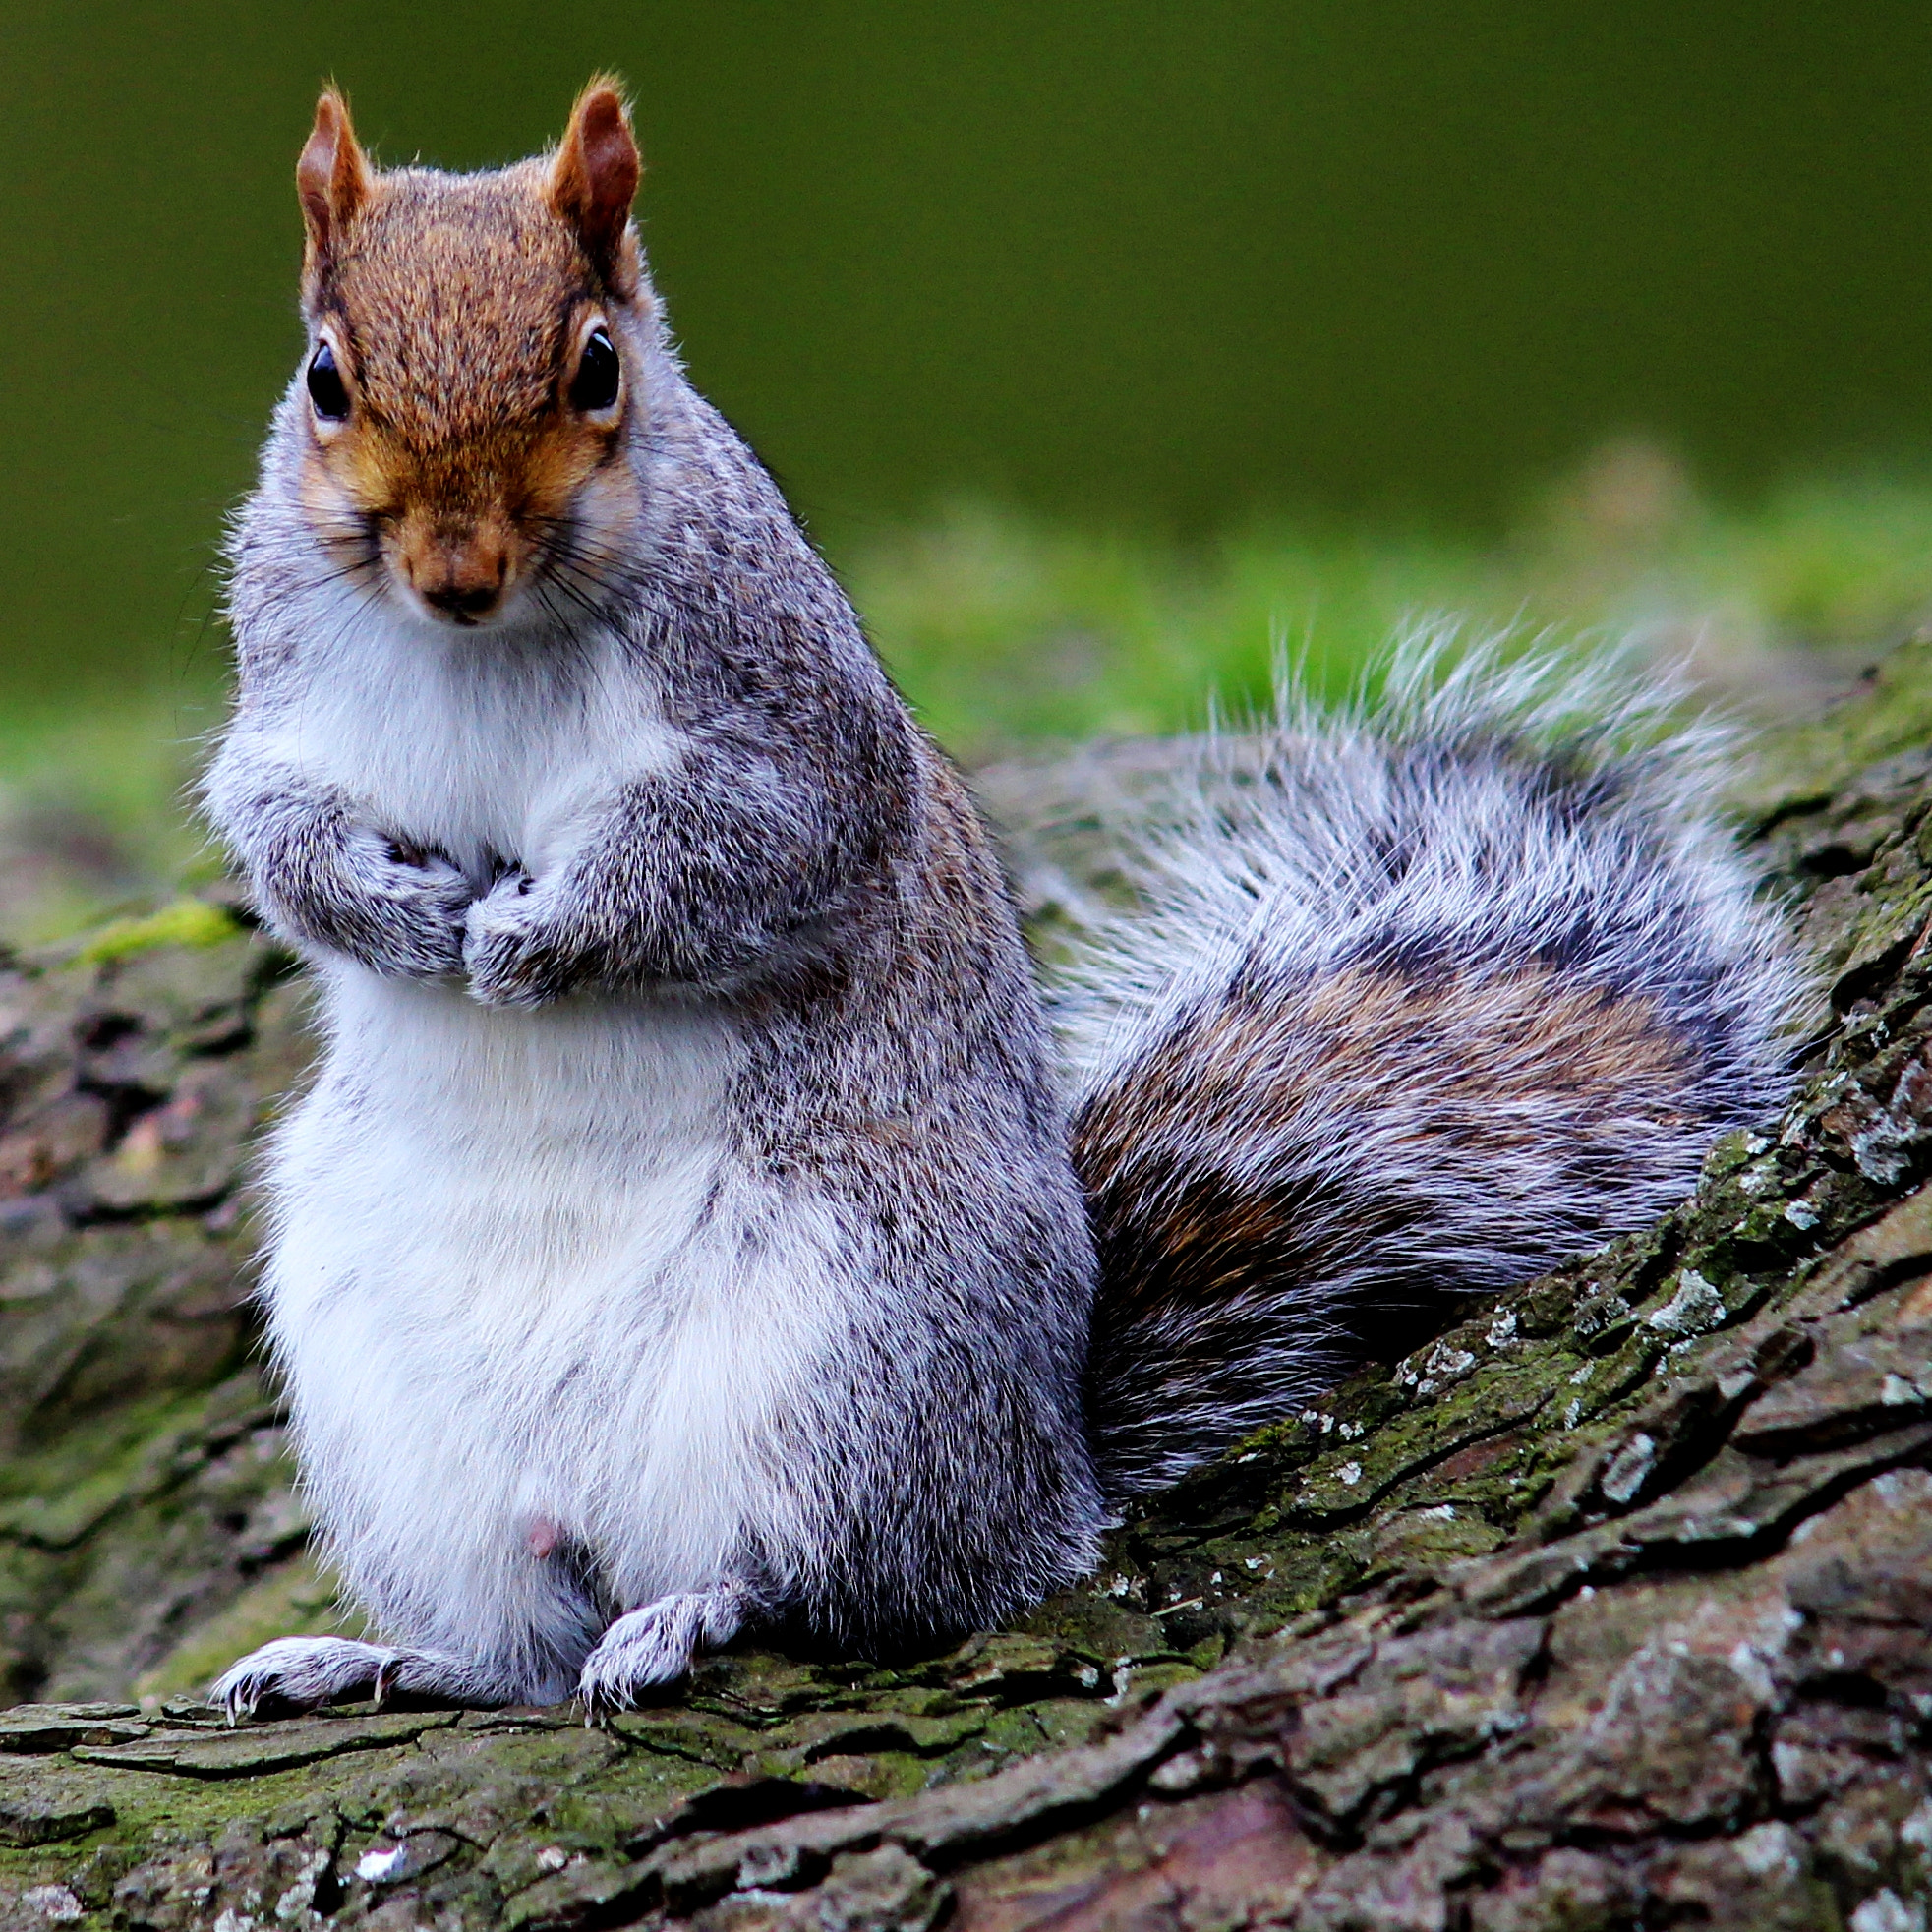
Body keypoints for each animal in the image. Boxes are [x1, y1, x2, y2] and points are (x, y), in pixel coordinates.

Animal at [204, 82, 1804, 1719]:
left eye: (597, 367)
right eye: (323, 378)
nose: (454, 568)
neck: (479, 646)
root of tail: (1054, 1477)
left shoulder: (791, 727)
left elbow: (739, 855)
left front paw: (537, 938)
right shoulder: (280, 697)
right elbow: (270, 827)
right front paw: (384, 910)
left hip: (852, 1354)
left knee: (855, 1588)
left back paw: (694, 1610)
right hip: (391, 1408)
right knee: (525, 1648)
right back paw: (391, 1655)